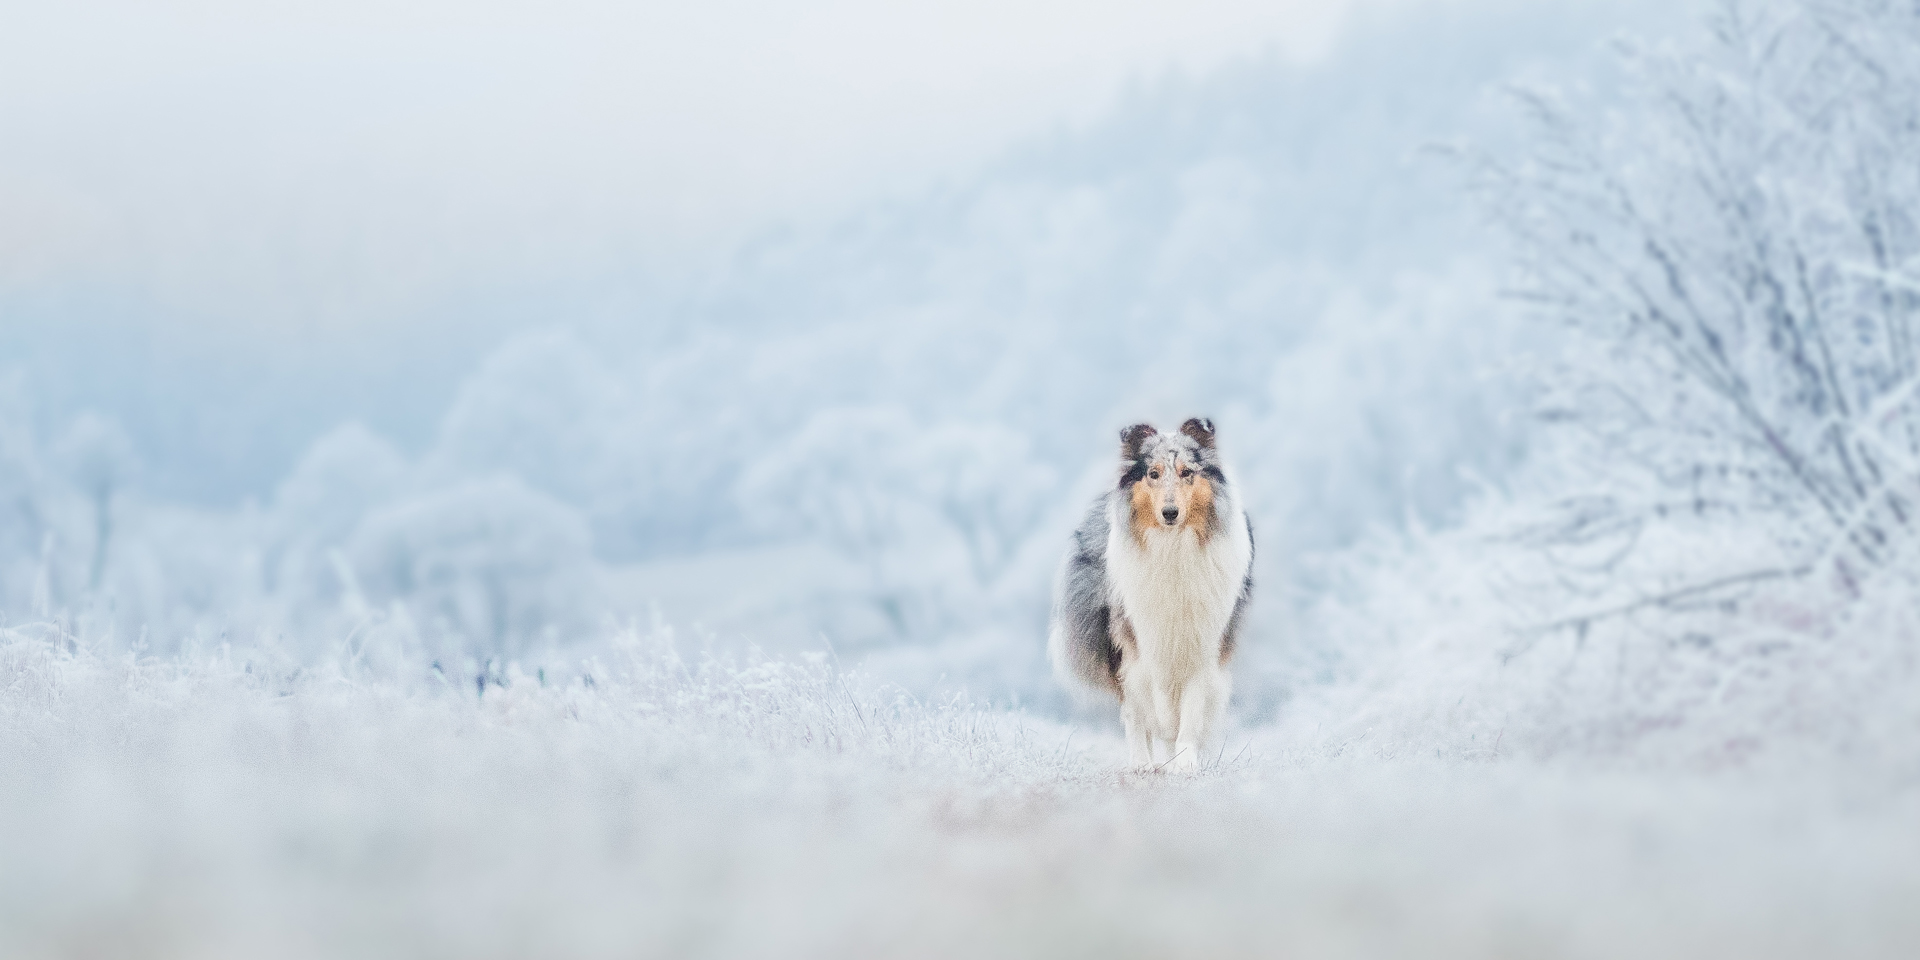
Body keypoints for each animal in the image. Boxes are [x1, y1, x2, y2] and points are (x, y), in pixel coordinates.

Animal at [1059, 418, 1251, 771]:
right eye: (1153, 473)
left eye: (1187, 472)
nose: (1170, 513)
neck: (1173, 548)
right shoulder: (1139, 642)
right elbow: (1148, 707)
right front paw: (1154, 753)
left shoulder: (1203, 642)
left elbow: (1190, 710)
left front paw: (1185, 762)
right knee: (1134, 710)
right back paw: (1142, 762)